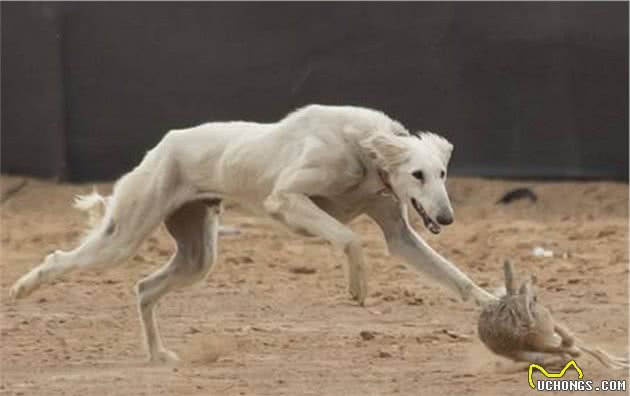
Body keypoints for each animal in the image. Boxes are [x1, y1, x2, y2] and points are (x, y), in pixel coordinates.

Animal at [9, 104, 498, 362]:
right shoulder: (285, 200)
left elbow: (457, 278)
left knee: (145, 288)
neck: (364, 153)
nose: (447, 218)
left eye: (441, 173)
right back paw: (21, 290)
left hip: (197, 255)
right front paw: (358, 286)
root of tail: (163, 145)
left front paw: (493, 302)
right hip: (124, 235)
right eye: (417, 175)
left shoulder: (400, 235)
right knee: (61, 259)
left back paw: (159, 356)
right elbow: (348, 238)